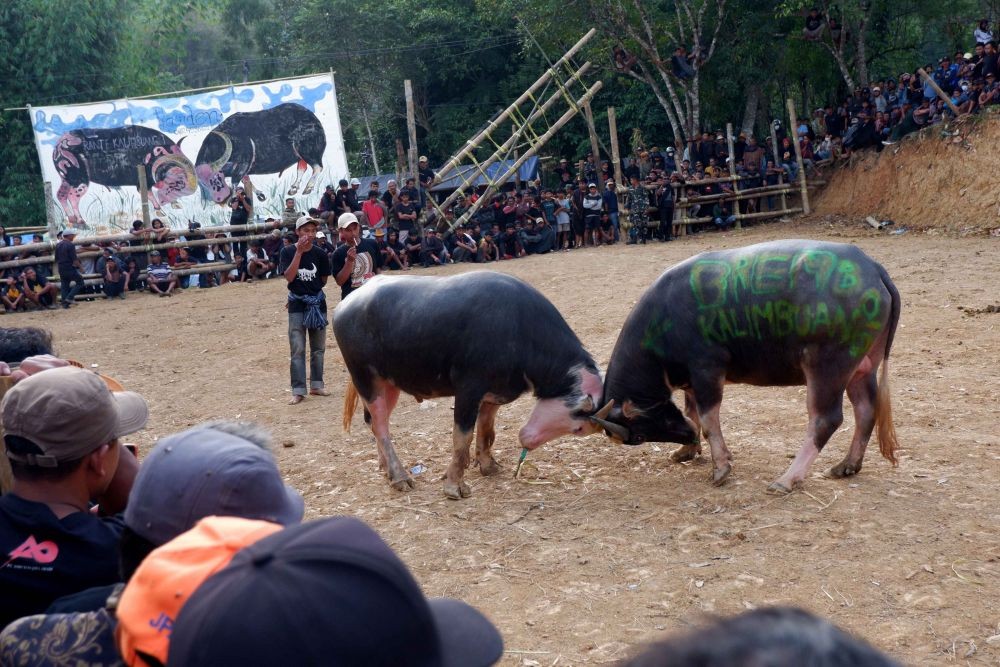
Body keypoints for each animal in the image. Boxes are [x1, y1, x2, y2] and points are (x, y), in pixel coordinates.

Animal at [51, 125, 196, 227]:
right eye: (178, 178)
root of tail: (59, 146)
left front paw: (175, 204)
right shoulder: (143, 182)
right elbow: (149, 194)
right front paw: (160, 210)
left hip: (66, 179)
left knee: (61, 195)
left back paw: (72, 220)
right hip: (79, 180)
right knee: (72, 197)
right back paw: (81, 221)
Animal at [198, 102, 328, 204]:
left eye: (216, 178)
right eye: (204, 183)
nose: (218, 198)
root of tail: (312, 117)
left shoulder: (243, 164)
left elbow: (236, 182)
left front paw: (233, 199)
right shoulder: (243, 169)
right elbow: (246, 180)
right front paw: (260, 195)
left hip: (307, 150)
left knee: (317, 167)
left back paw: (308, 188)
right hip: (301, 154)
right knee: (302, 167)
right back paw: (294, 188)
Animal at [336, 270, 604, 496]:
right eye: (579, 428)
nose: (526, 441)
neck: (518, 329)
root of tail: (346, 304)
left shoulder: (494, 394)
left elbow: (486, 429)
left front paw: (488, 465)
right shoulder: (468, 390)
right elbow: (462, 437)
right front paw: (454, 485)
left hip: (388, 384)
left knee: (374, 423)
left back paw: (386, 469)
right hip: (366, 380)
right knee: (381, 426)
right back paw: (400, 477)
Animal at [588, 241, 904, 496]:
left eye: (640, 436)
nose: (686, 437)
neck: (661, 322)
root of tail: (872, 268)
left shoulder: (707, 369)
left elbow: (708, 418)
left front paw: (720, 467)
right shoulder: (690, 380)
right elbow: (692, 412)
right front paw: (686, 451)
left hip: (827, 366)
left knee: (826, 419)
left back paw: (786, 480)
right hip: (862, 368)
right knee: (866, 409)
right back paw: (847, 466)